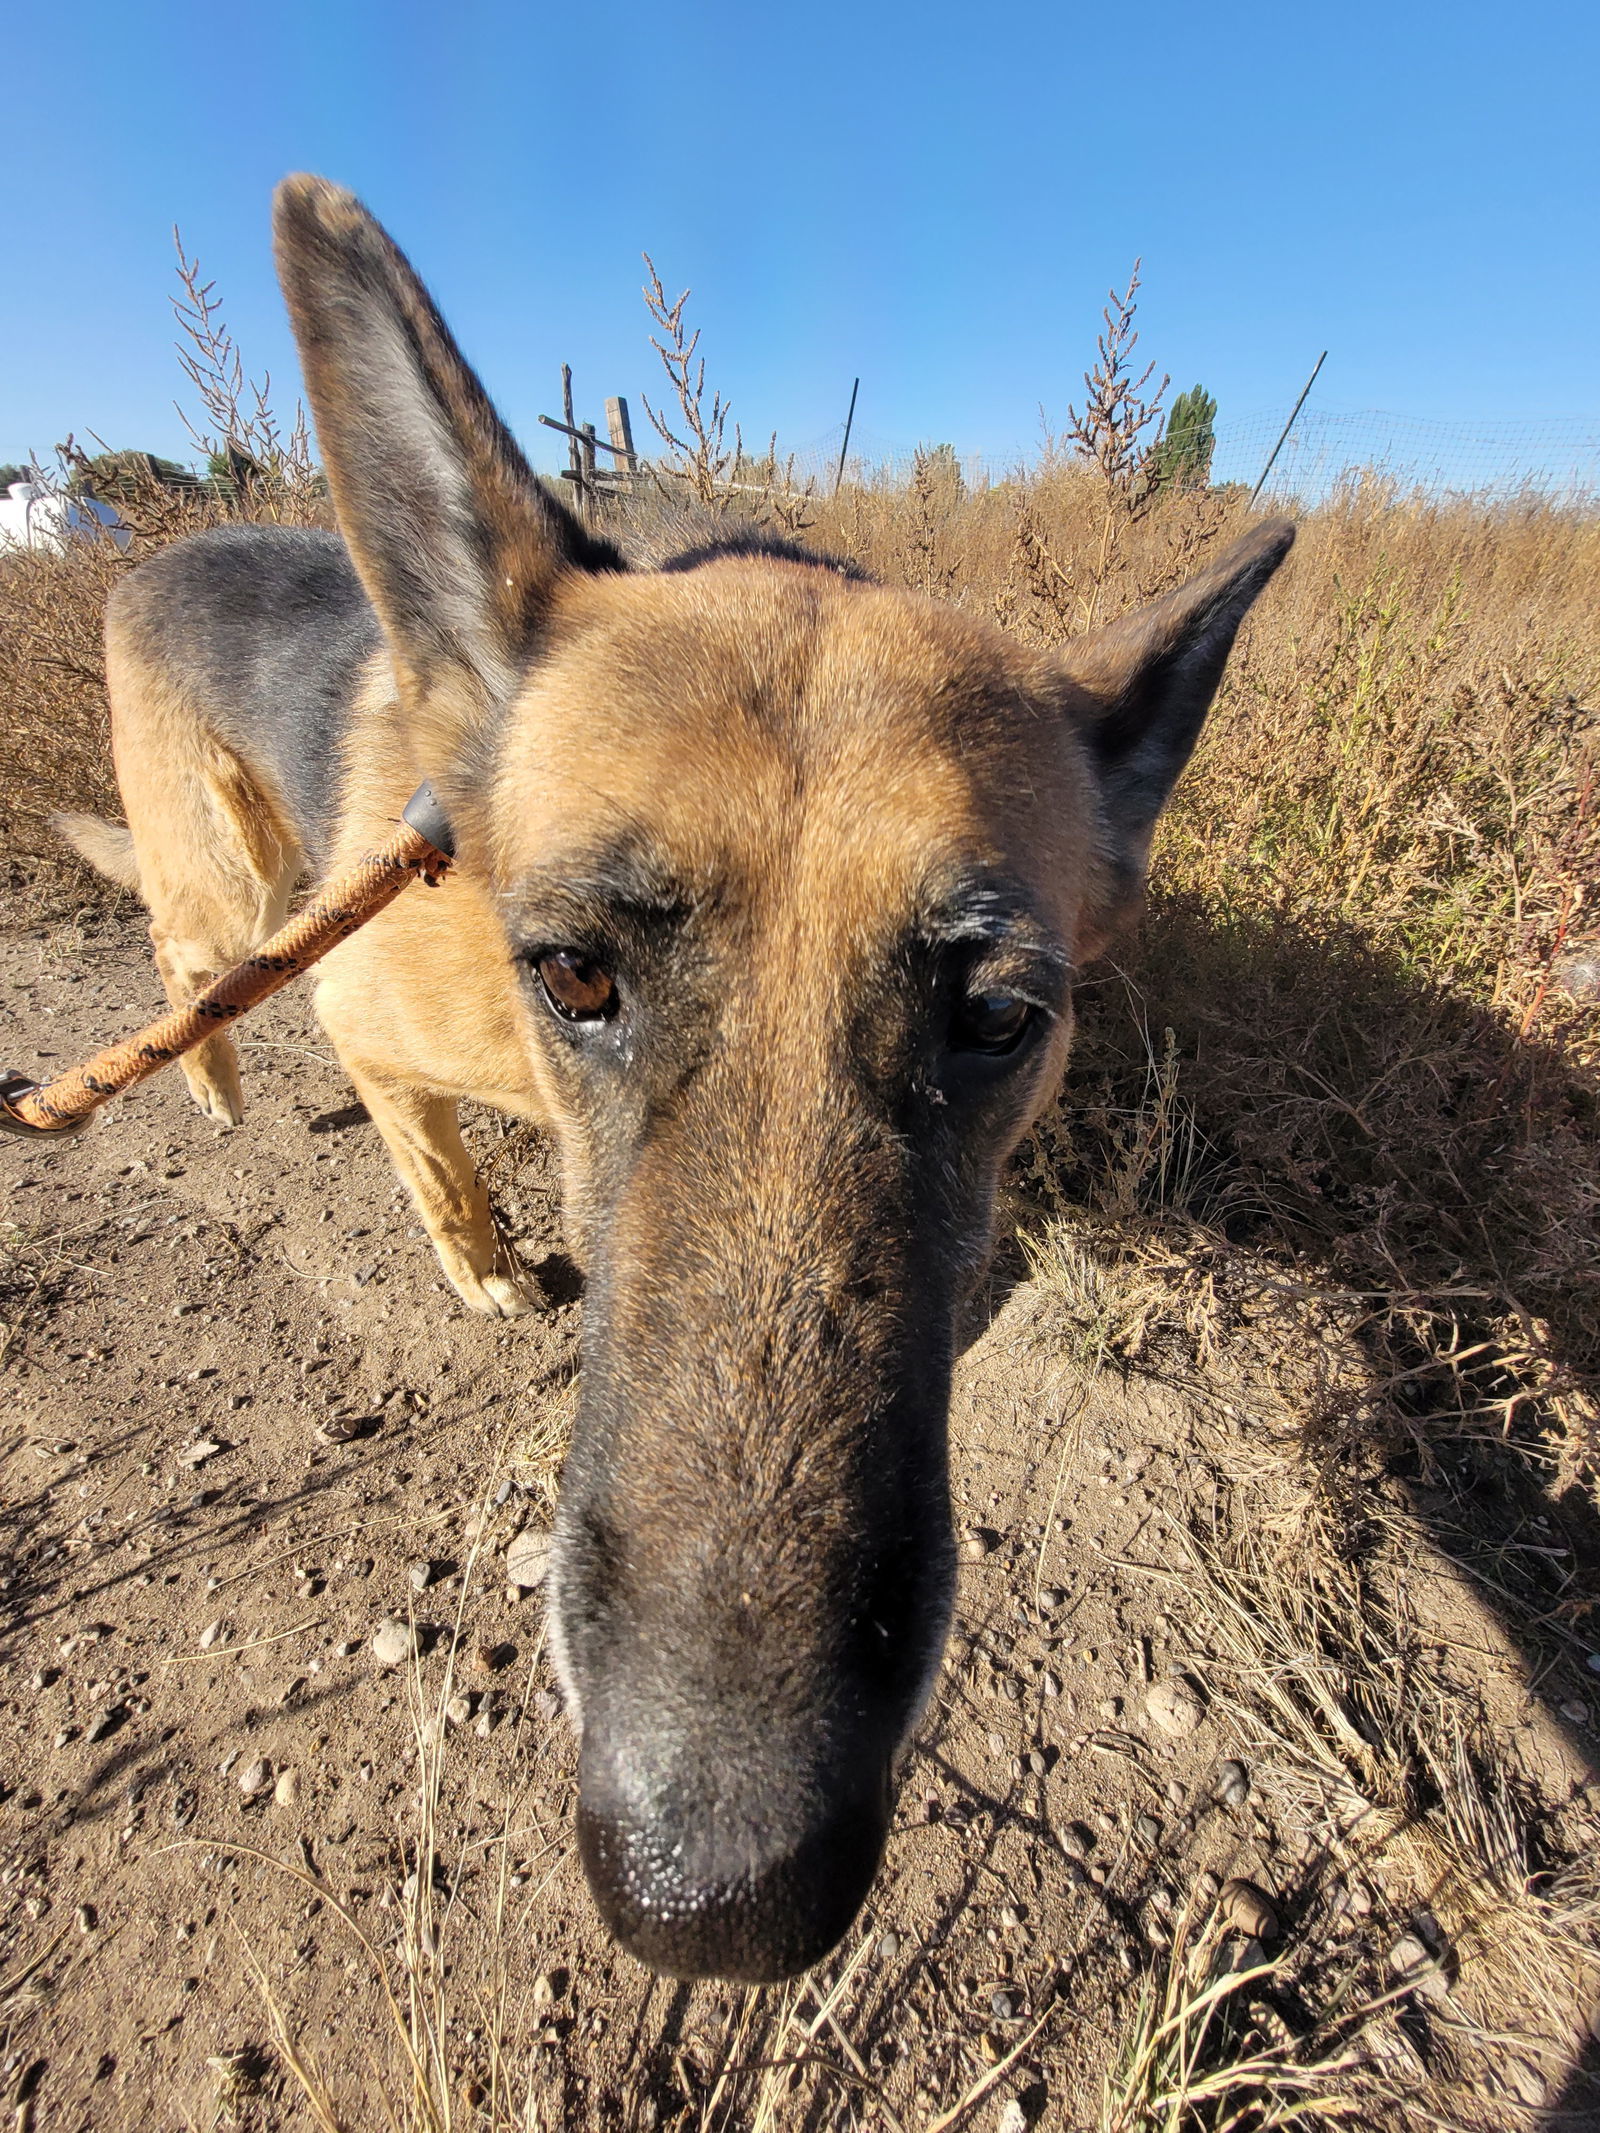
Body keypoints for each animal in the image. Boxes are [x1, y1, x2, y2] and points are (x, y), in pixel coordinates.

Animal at [62, 179, 1297, 1979]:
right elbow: (433, 1158)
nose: (718, 1888)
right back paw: (216, 1080)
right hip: (223, 882)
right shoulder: (374, 1021)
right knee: (189, 959)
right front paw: (483, 1260)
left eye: (998, 1017)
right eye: (575, 973)